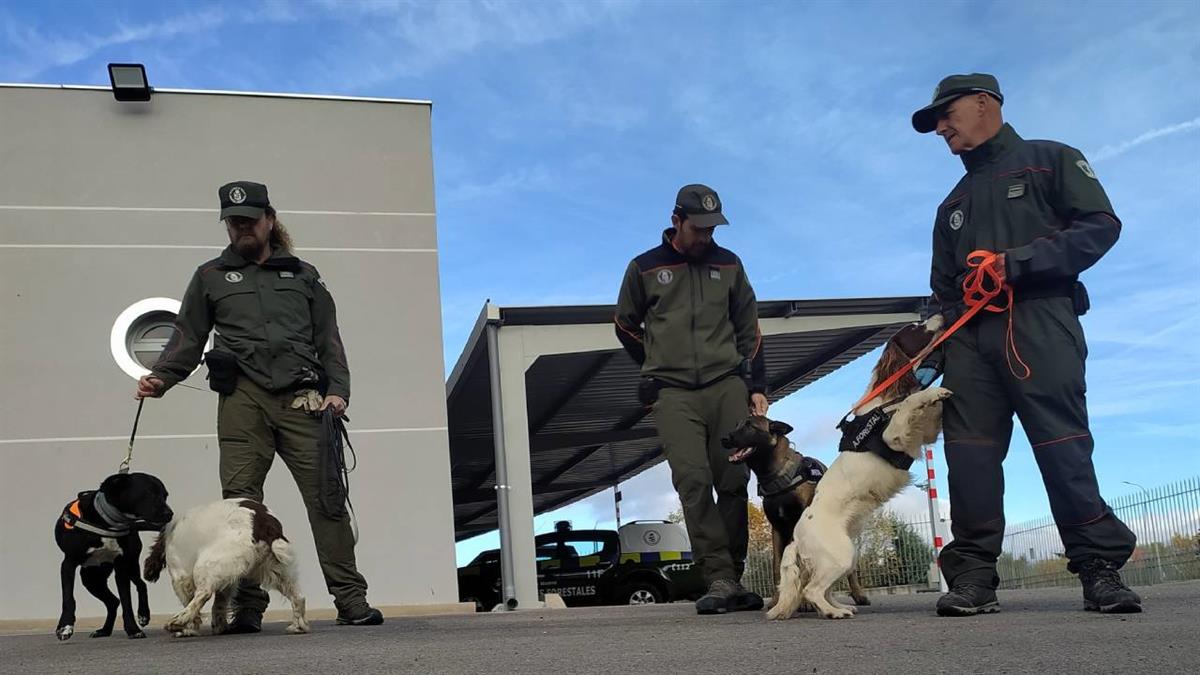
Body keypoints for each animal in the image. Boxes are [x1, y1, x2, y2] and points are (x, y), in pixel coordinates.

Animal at [55, 470, 174, 638]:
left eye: (165, 495)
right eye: (148, 493)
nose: (170, 514)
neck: (107, 522)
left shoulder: (121, 566)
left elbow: (126, 601)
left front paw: (133, 629)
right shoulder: (68, 563)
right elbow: (68, 598)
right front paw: (65, 626)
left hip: (129, 564)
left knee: (139, 585)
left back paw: (143, 615)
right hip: (91, 578)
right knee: (113, 602)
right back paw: (104, 630)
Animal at [720, 413, 864, 600]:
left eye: (750, 425)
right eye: (737, 425)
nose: (724, 439)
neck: (778, 476)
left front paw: (806, 602)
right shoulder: (777, 530)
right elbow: (777, 566)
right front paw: (776, 599)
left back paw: (858, 594)